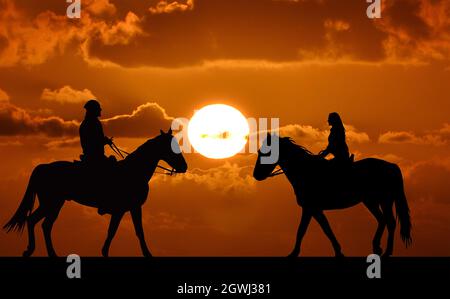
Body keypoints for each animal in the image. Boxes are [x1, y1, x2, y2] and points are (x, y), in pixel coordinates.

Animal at [3, 129, 186, 258]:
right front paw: (106, 253)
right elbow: (115, 232)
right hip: (51, 202)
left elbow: (135, 231)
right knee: (36, 221)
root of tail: (43, 167)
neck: (133, 171)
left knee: (43, 224)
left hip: (55, 203)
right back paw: (35, 251)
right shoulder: (123, 209)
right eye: (172, 147)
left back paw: (45, 252)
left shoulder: (132, 208)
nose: (184, 167)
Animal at [253, 134, 412, 258]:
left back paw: (387, 252)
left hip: (384, 201)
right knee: (382, 220)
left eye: (266, 153)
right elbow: (326, 229)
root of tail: (391, 166)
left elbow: (302, 230)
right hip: (371, 201)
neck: (305, 171)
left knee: (390, 222)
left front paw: (293, 254)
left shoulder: (310, 208)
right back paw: (377, 247)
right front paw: (338, 251)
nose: (256, 175)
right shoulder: (315, 210)